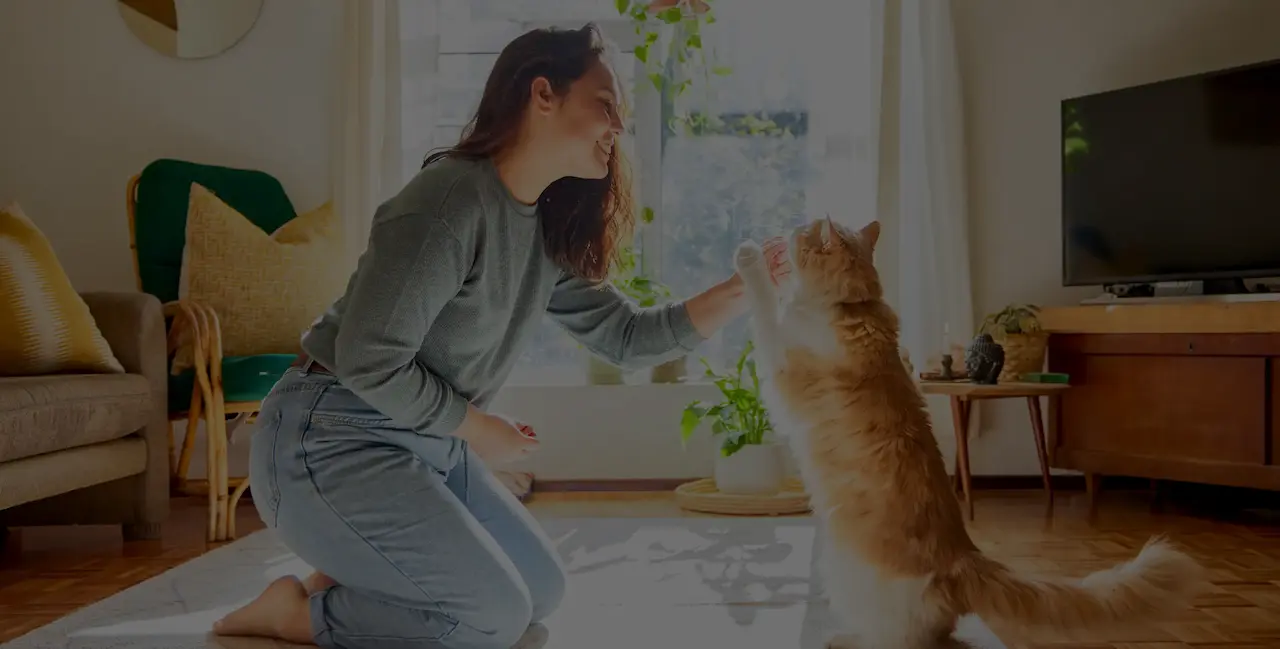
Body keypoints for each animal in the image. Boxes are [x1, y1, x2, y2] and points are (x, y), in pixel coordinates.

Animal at [737, 218, 1203, 649]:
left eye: (803, 231)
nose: (786, 231)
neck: (853, 306)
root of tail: (963, 557)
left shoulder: (778, 360)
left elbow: (763, 306)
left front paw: (751, 258)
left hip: (844, 576)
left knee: (901, 641)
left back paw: (843, 639)